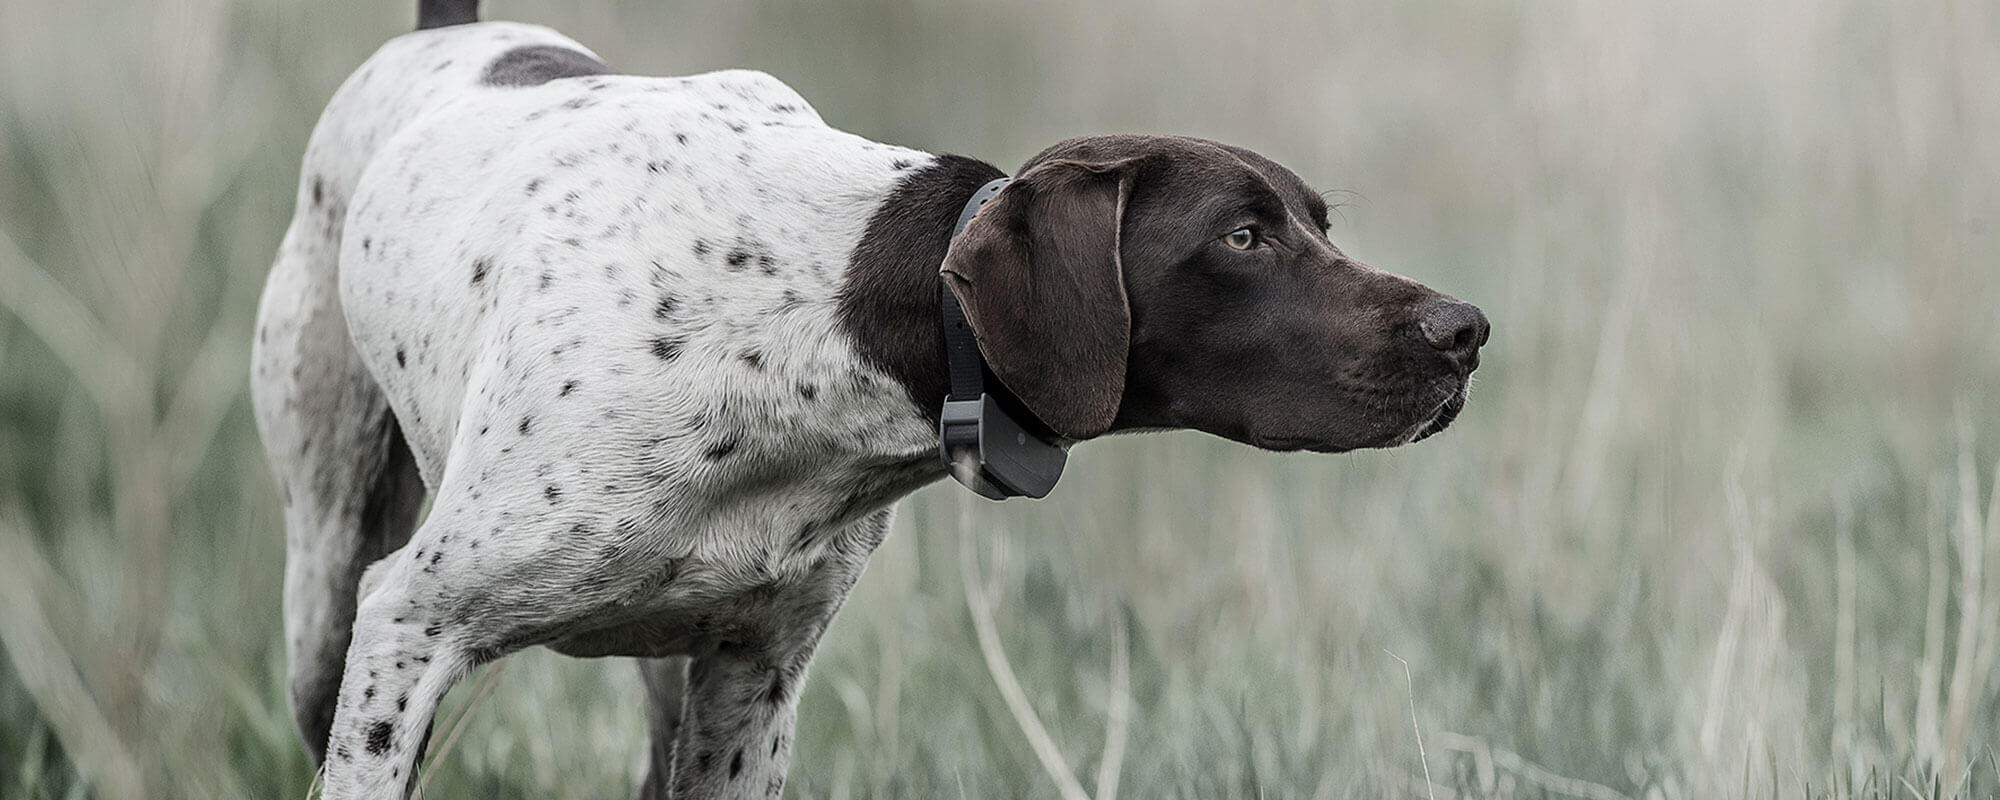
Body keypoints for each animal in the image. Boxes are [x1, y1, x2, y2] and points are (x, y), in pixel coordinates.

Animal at [250, 3, 1488, 796]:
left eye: (1318, 223)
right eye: (1240, 236)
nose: (1465, 331)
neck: (806, 321)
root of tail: (443, 33)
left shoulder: (751, 687)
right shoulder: (414, 620)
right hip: (326, 586)